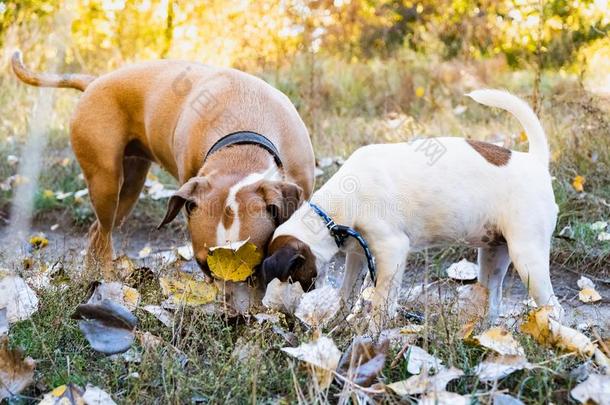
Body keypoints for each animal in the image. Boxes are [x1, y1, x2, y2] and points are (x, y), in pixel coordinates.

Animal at [13, 49, 314, 278]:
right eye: (203, 266)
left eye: (253, 266)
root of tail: (94, 82)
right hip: (106, 184)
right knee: (103, 234)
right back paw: (104, 279)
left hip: (129, 187)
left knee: (95, 231)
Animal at [260, 88, 560, 328]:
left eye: (288, 277)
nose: (273, 309)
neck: (337, 209)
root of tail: (535, 161)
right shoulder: (358, 254)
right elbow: (347, 292)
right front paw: (339, 321)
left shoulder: (391, 250)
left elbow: (381, 301)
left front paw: (371, 334)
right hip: (493, 256)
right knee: (494, 301)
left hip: (527, 256)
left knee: (555, 307)